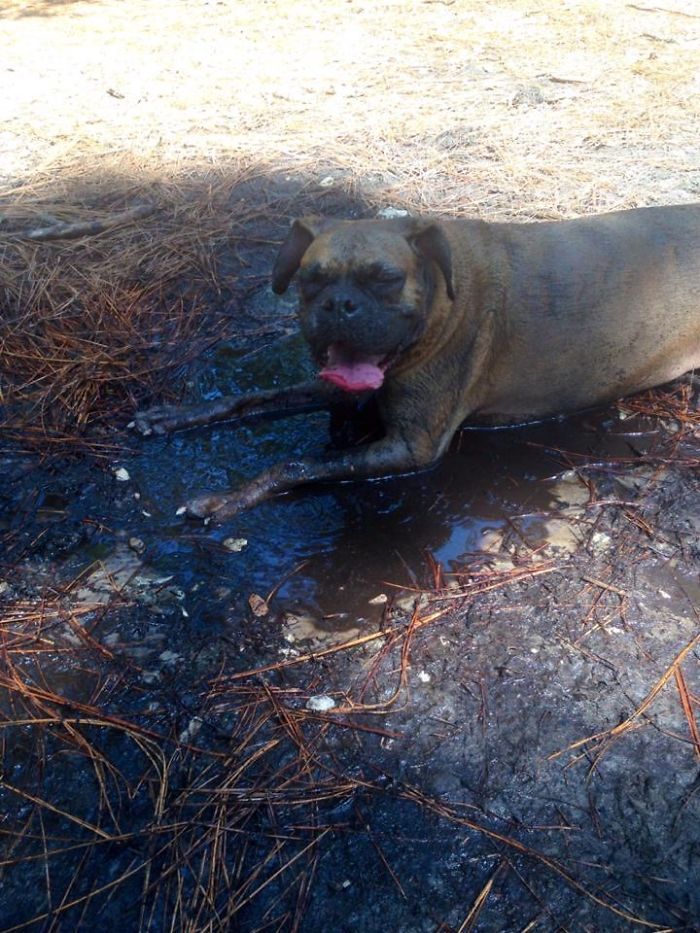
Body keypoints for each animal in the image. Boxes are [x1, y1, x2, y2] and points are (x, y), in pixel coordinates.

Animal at [135, 203, 700, 516]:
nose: (339, 304)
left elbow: (297, 463)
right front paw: (176, 415)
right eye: (311, 277)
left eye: (385, 278)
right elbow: (254, 396)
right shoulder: (339, 387)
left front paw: (228, 498)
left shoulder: (412, 448)